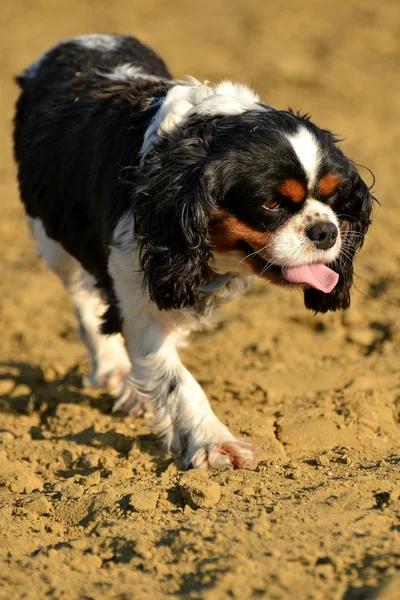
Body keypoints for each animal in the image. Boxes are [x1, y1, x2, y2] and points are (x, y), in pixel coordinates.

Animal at [14, 35, 374, 472]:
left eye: (333, 197)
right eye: (271, 204)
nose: (326, 231)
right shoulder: (137, 297)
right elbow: (177, 379)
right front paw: (215, 442)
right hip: (52, 237)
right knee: (82, 297)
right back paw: (113, 368)